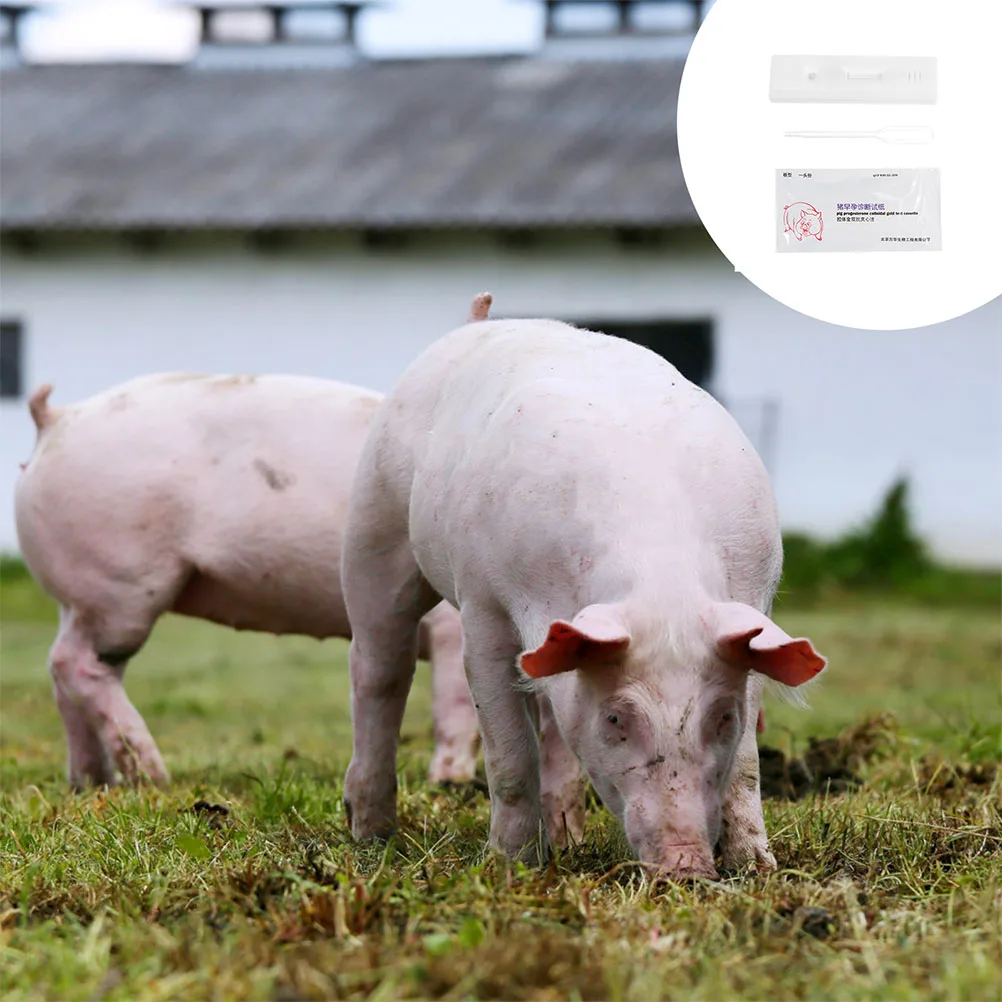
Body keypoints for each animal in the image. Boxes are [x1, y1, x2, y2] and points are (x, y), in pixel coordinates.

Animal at [14, 372, 480, 789]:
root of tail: (56, 418)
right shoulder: (450, 623)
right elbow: (458, 697)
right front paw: (452, 782)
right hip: (120, 583)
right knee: (73, 663)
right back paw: (154, 778)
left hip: (79, 597)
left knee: (64, 676)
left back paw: (93, 781)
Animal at [341, 295, 826, 879]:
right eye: (616, 716)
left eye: (723, 717)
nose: (685, 867)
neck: (659, 574)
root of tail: (477, 324)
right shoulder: (483, 605)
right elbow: (507, 752)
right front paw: (511, 866)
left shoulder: (753, 603)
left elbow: (748, 762)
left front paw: (758, 868)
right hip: (374, 522)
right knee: (379, 667)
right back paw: (370, 835)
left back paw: (568, 840)